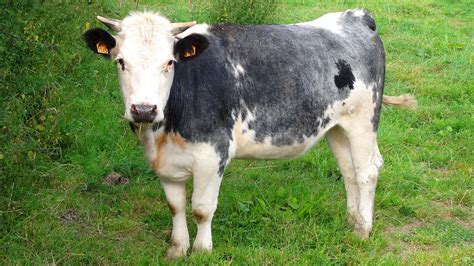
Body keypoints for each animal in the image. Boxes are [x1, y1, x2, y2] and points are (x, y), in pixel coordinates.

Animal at [82, 8, 414, 258]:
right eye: (121, 61)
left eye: (169, 62)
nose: (144, 109)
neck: (163, 130)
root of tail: (355, 16)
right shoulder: (165, 161)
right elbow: (175, 206)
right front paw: (177, 250)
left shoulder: (212, 154)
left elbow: (201, 209)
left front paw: (202, 251)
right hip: (337, 127)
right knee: (349, 170)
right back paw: (351, 219)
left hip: (363, 121)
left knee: (367, 171)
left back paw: (362, 229)